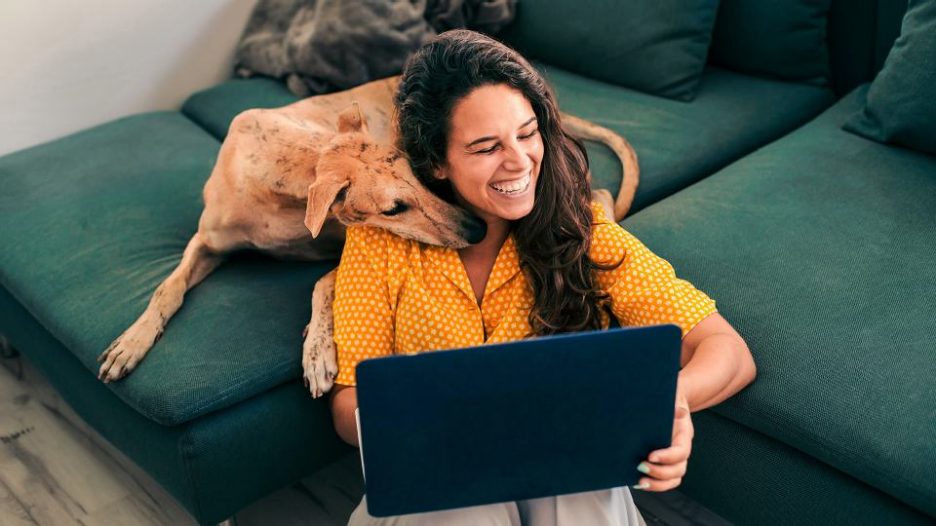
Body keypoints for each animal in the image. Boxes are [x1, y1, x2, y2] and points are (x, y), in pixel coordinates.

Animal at [95, 72, 640, 398]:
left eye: (424, 177)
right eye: (394, 207)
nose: (477, 229)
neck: (284, 165)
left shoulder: (342, 244)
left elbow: (321, 282)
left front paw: (318, 351)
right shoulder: (205, 242)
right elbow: (167, 288)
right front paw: (129, 344)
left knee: (600, 194)